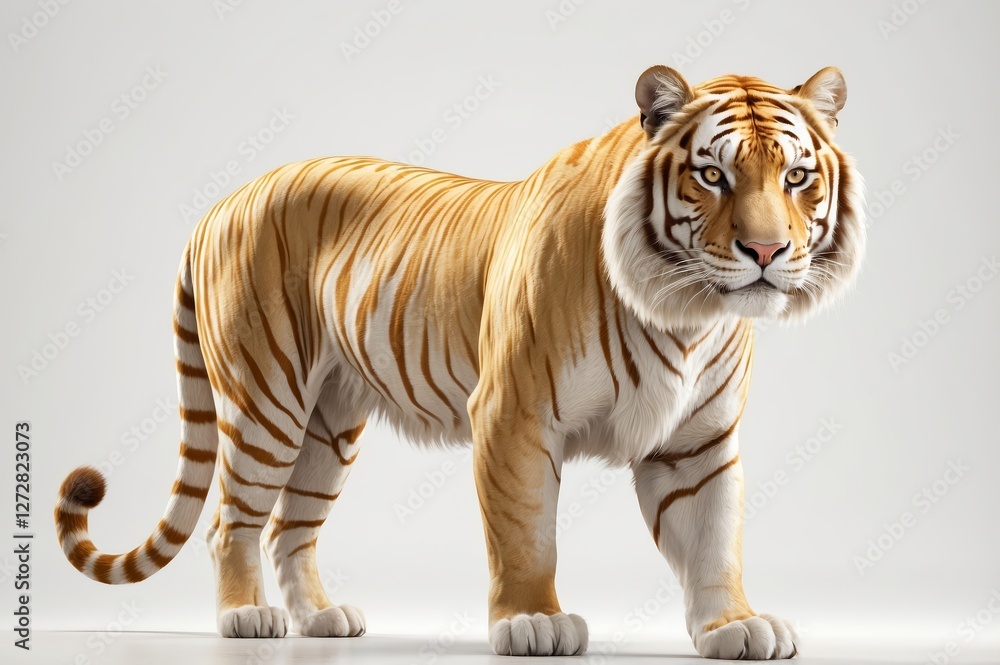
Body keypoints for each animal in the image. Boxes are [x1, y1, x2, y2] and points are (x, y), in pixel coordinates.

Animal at [55, 65, 864, 659]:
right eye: (713, 176)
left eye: (796, 177)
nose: (766, 252)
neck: (685, 314)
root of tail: (221, 201)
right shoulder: (514, 417)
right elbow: (527, 535)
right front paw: (533, 624)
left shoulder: (697, 440)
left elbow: (713, 538)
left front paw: (735, 626)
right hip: (268, 401)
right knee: (232, 520)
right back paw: (246, 618)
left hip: (328, 424)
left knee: (292, 524)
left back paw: (322, 617)